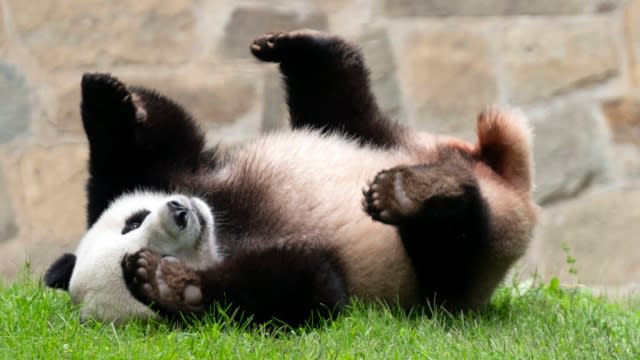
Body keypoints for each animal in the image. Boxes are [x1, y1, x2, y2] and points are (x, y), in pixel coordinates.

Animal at [42, 29, 536, 324]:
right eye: (146, 242)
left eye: (133, 221)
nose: (180, 212)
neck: (225, 227)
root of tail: (509, 182)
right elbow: (309, 289)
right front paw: (168, 284)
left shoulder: (184, 175)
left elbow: (155, 145)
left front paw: (105, 97)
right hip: (455, 271)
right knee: (454, 244)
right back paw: (415, 194)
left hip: (385, 138)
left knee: (340, 101)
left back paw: (297, 48)